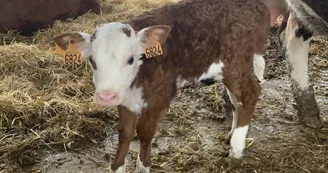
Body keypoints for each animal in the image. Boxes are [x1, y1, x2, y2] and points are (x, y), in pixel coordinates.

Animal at [53, 0, 270, 171]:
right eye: (92, 60)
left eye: (130, 59)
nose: (106, 96)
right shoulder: (125, 100)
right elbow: (125, 134)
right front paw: (117, 167)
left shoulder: (159, 97)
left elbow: (144, 132)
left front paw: (143, 167)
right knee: (237, 99)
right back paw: (231, 135)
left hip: (235, 64)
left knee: (251, 93)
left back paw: (236, 149)